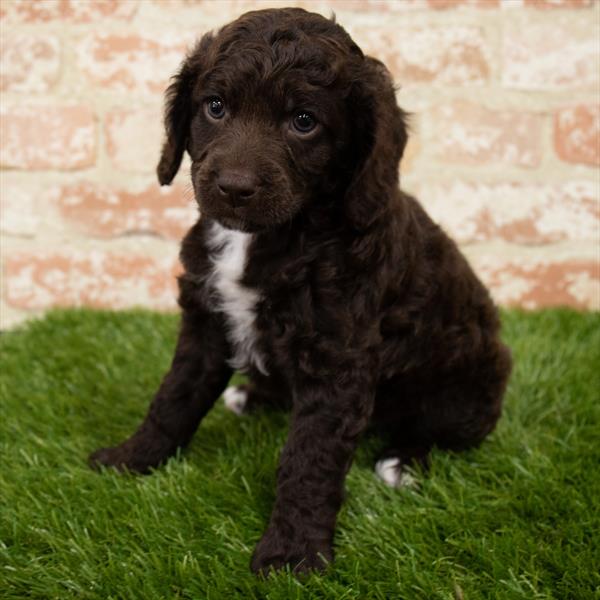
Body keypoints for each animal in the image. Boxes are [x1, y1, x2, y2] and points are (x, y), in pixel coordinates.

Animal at [89, 7, 510, 576]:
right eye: (215, 107)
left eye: (304, 121)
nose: (234, 187)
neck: (271, 237)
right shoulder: (206, 319)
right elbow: (173, 397)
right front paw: (131, 459)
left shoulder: (338, 360)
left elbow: (308, 459)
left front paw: (292, 552)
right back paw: (251, 396)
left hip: (468, 382)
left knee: (446, 431)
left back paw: (402, 461)